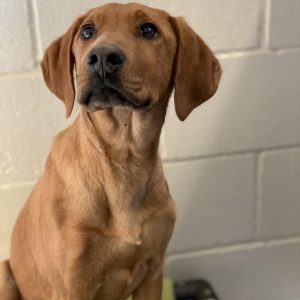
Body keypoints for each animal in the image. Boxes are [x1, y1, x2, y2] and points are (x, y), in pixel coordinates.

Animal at [0, 2, 221, 300]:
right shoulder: (72, 286)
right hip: (5, 273)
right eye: (87, 32)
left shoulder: (152, 272)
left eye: (149, 30)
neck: (123, 158)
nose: (102, 57)